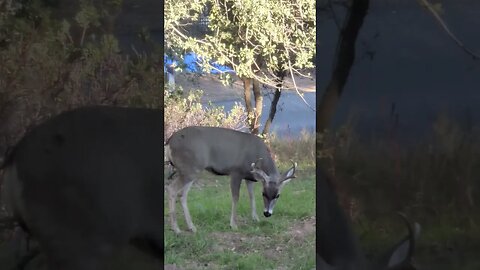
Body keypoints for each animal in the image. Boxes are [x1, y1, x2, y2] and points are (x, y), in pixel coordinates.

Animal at [165, 125, 296, 233]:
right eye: (264, 193)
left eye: (278, 195)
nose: (267, 213)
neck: (257, 154)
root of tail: (169, 141)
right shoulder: (236, 172)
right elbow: (235, 198)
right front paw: (233, 225)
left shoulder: (249, 177)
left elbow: (251, 196)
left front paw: (255, 218)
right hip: (190, 169)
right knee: (171, 189)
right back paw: (176, 229)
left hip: (191, 171)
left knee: (182, 194)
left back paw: (191, 227)